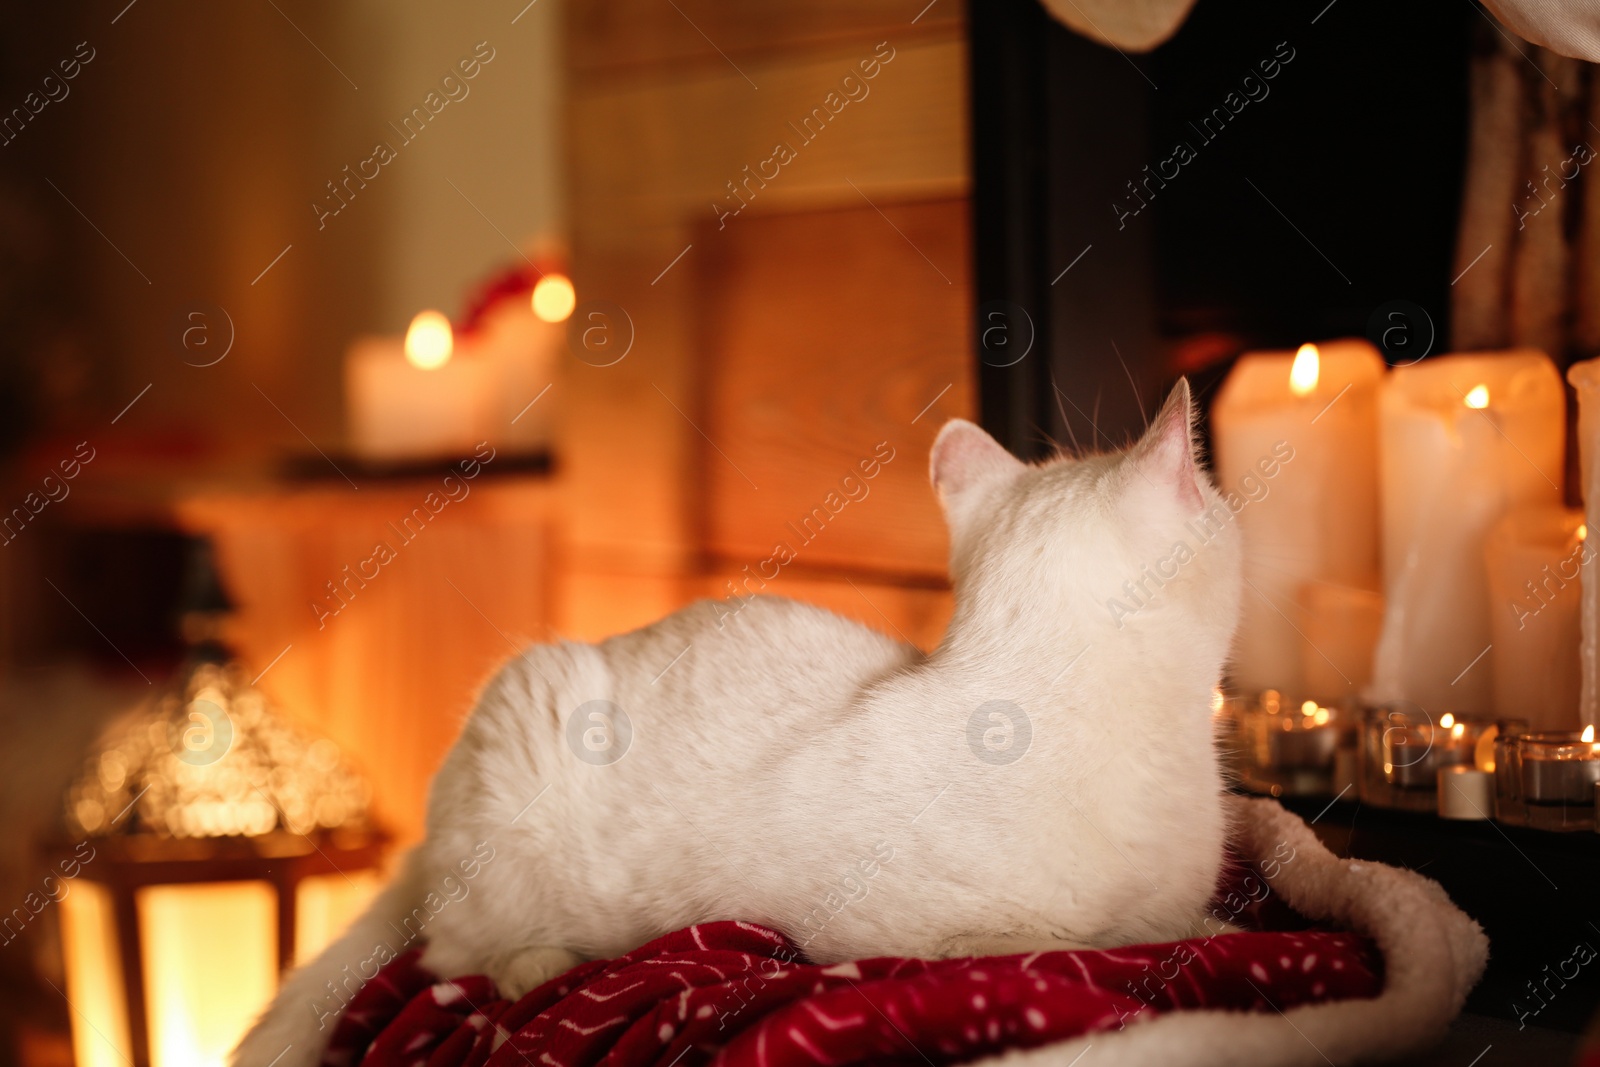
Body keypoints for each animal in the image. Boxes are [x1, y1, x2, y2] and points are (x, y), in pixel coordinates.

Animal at [233, 382, 1235, 1067]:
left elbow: (1189, 917)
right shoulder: (906, 936)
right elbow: (1095, 940)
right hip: (521, 736)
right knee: (452, 951)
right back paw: (538, 962)